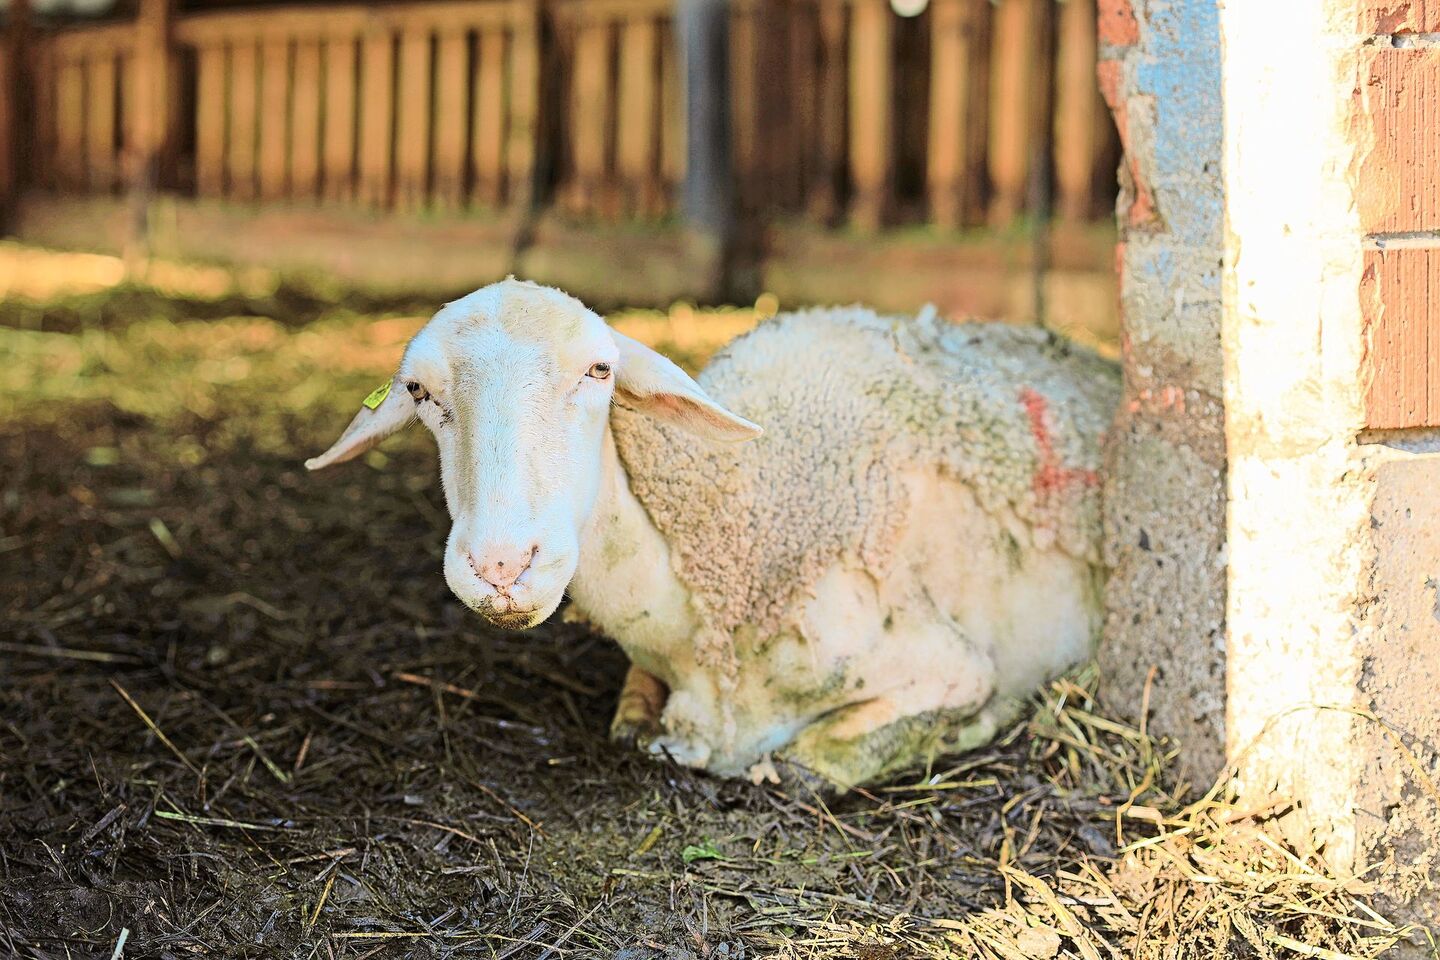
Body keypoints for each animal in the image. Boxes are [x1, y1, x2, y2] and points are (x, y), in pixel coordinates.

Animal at [307, 279, 1120, 789]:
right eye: (419, 392)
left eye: (599, 371)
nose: (503, 564)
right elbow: (634, 724)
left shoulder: (947, 661)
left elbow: (810, 760)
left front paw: (976, 725)